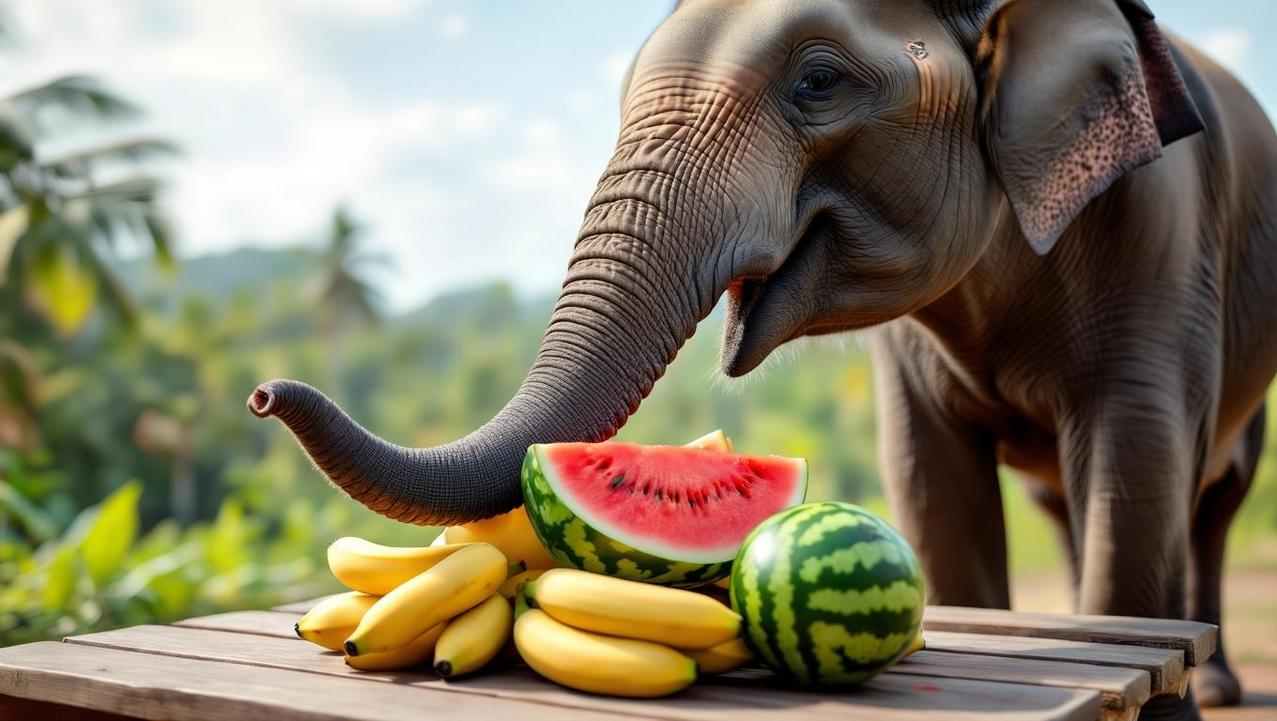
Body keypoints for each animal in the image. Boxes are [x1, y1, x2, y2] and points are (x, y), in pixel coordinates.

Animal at [248, 0, 1276, 717]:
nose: (262, 393)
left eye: (818, 83)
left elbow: (1131, 471)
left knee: (1210, 499)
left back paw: (1215, 682)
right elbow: (933, 486)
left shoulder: (1163, 237)